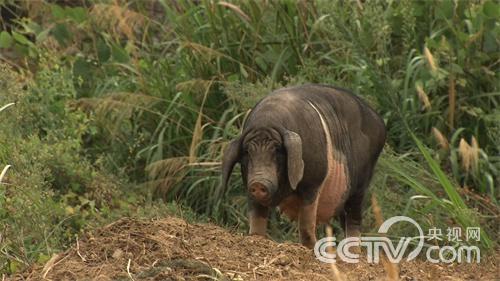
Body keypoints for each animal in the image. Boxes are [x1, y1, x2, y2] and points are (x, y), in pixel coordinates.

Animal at [220, 83, 386, 247]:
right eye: (247, 152)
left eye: (277, 150)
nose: (258, 183)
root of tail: (379, 120)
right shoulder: (250, 188)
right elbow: (257, 217)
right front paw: (256, 237)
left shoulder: (313, 182)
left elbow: (306, 221)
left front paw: (310, 247)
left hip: (361, 185)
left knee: (354, 218)